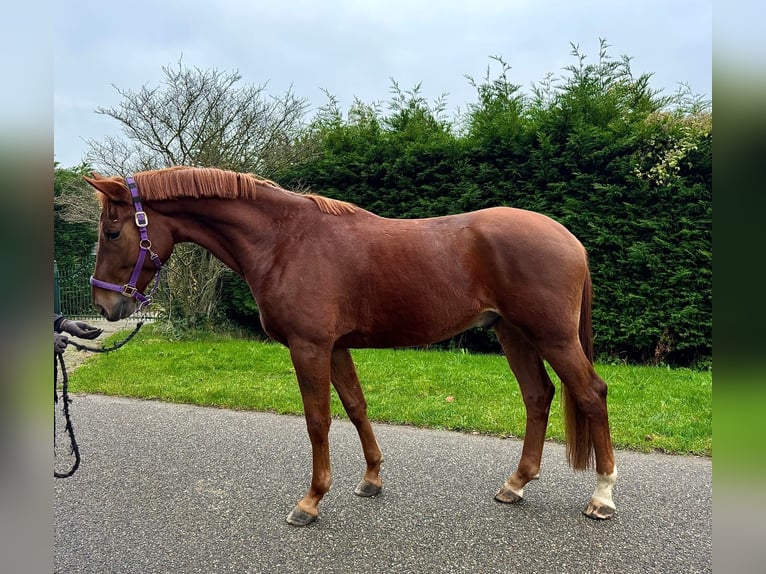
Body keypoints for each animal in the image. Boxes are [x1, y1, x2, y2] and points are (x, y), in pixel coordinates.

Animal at [87, 165, 620, 528]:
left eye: (113, 232)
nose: (105, 304)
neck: (285, 240)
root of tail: (569, 238)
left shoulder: (309, 347)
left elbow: (318, 421)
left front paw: (310, 501)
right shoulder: (336, 347)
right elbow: (356, 406)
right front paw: (372, 479)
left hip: (551, 336)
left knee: (591, 394)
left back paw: (602, 496)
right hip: (513, 333)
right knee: (538, 395)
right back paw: (516, 484)